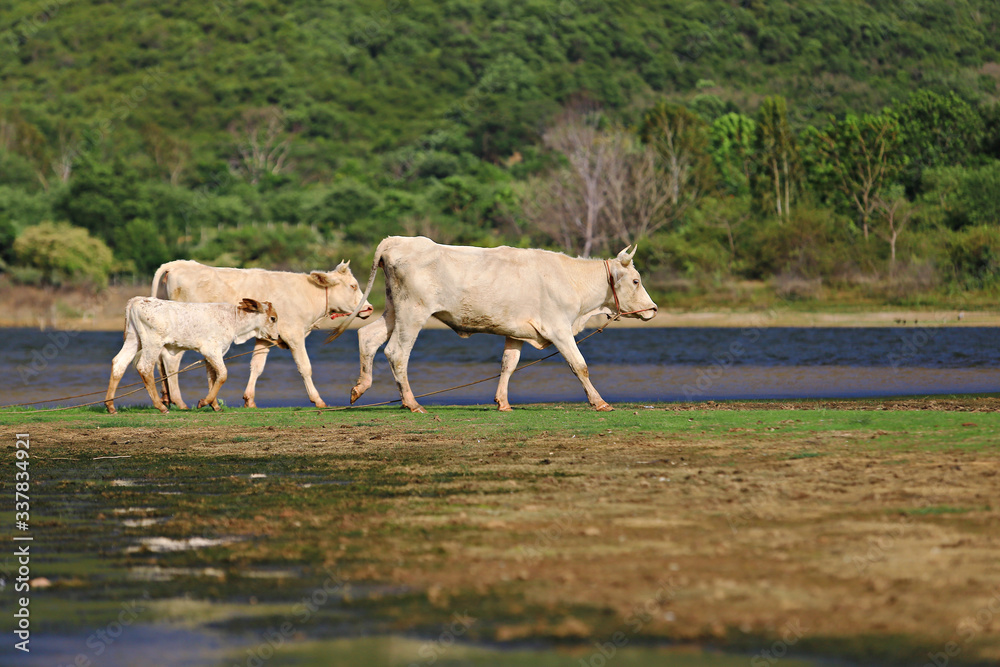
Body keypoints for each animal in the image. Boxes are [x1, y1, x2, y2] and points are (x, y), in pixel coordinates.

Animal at [105, 297, 280, 414]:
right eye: (273, 318)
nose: (277, 336)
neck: (234, 320)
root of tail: (138, 300)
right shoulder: (211, 351)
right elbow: (223, 375)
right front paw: (204, 402)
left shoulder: (211, 355)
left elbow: (213, 377)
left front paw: (215, 405)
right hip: (152, 343)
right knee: (144, 367)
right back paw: (161, 407)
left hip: (134, 340)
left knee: (119, 363)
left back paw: (110, 406)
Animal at [150, 260, 374, 409]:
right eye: (353, 285)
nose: (370, 308)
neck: (307, 295)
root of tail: (179, 264)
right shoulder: (294, 335)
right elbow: (305, 367)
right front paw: (318, 400)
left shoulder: (266, 337)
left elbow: (257, 367)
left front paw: (249, 399)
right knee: (171, 360)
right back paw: (179, 401)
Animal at [335, 236, 658, 413]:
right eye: (636, 280)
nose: (654, 309)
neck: (571, 281)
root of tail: (398, 240)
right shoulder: (559, 329)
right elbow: (580, 366)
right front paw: (599, 402)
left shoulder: (517, 332)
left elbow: (508, 364)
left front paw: (502, 401)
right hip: (413, 313)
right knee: (397, 353)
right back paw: (412, 403)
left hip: (394, 310)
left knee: (368, 335)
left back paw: (360, 387)